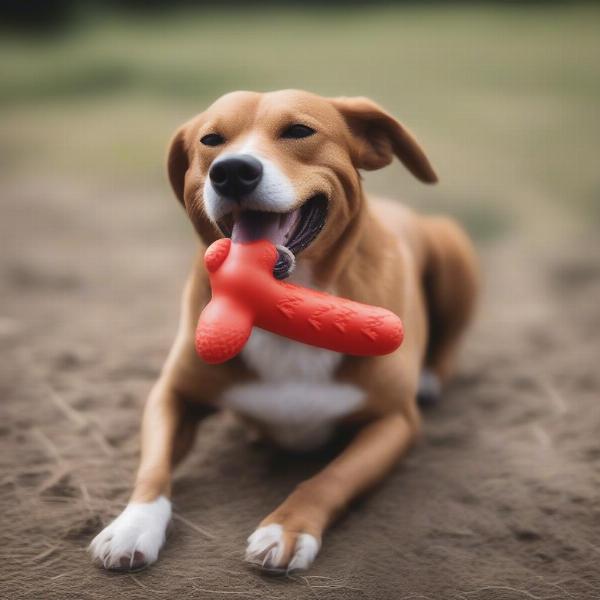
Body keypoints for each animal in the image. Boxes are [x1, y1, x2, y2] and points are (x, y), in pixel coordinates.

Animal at [88, 89, 478, 572]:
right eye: (211, 140)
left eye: (299, 131)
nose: (232, 172)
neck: (283, 304)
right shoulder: (172, 394)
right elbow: (153, 466)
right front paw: (133, 523)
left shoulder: (395, 421)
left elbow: (332, 477)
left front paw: (287, 528)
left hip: (452, 249)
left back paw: (429, 379)